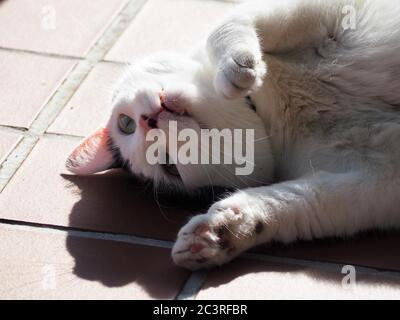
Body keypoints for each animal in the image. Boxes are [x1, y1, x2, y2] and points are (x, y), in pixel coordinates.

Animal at [65, 0, 400, 270]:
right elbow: (296, 200)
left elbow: (228, 24)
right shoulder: (377, 181)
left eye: (126, 124)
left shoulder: (321, 9)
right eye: (169, 166)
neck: (273, 105)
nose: (150, 121)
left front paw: (237, 68)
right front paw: (220, 231)